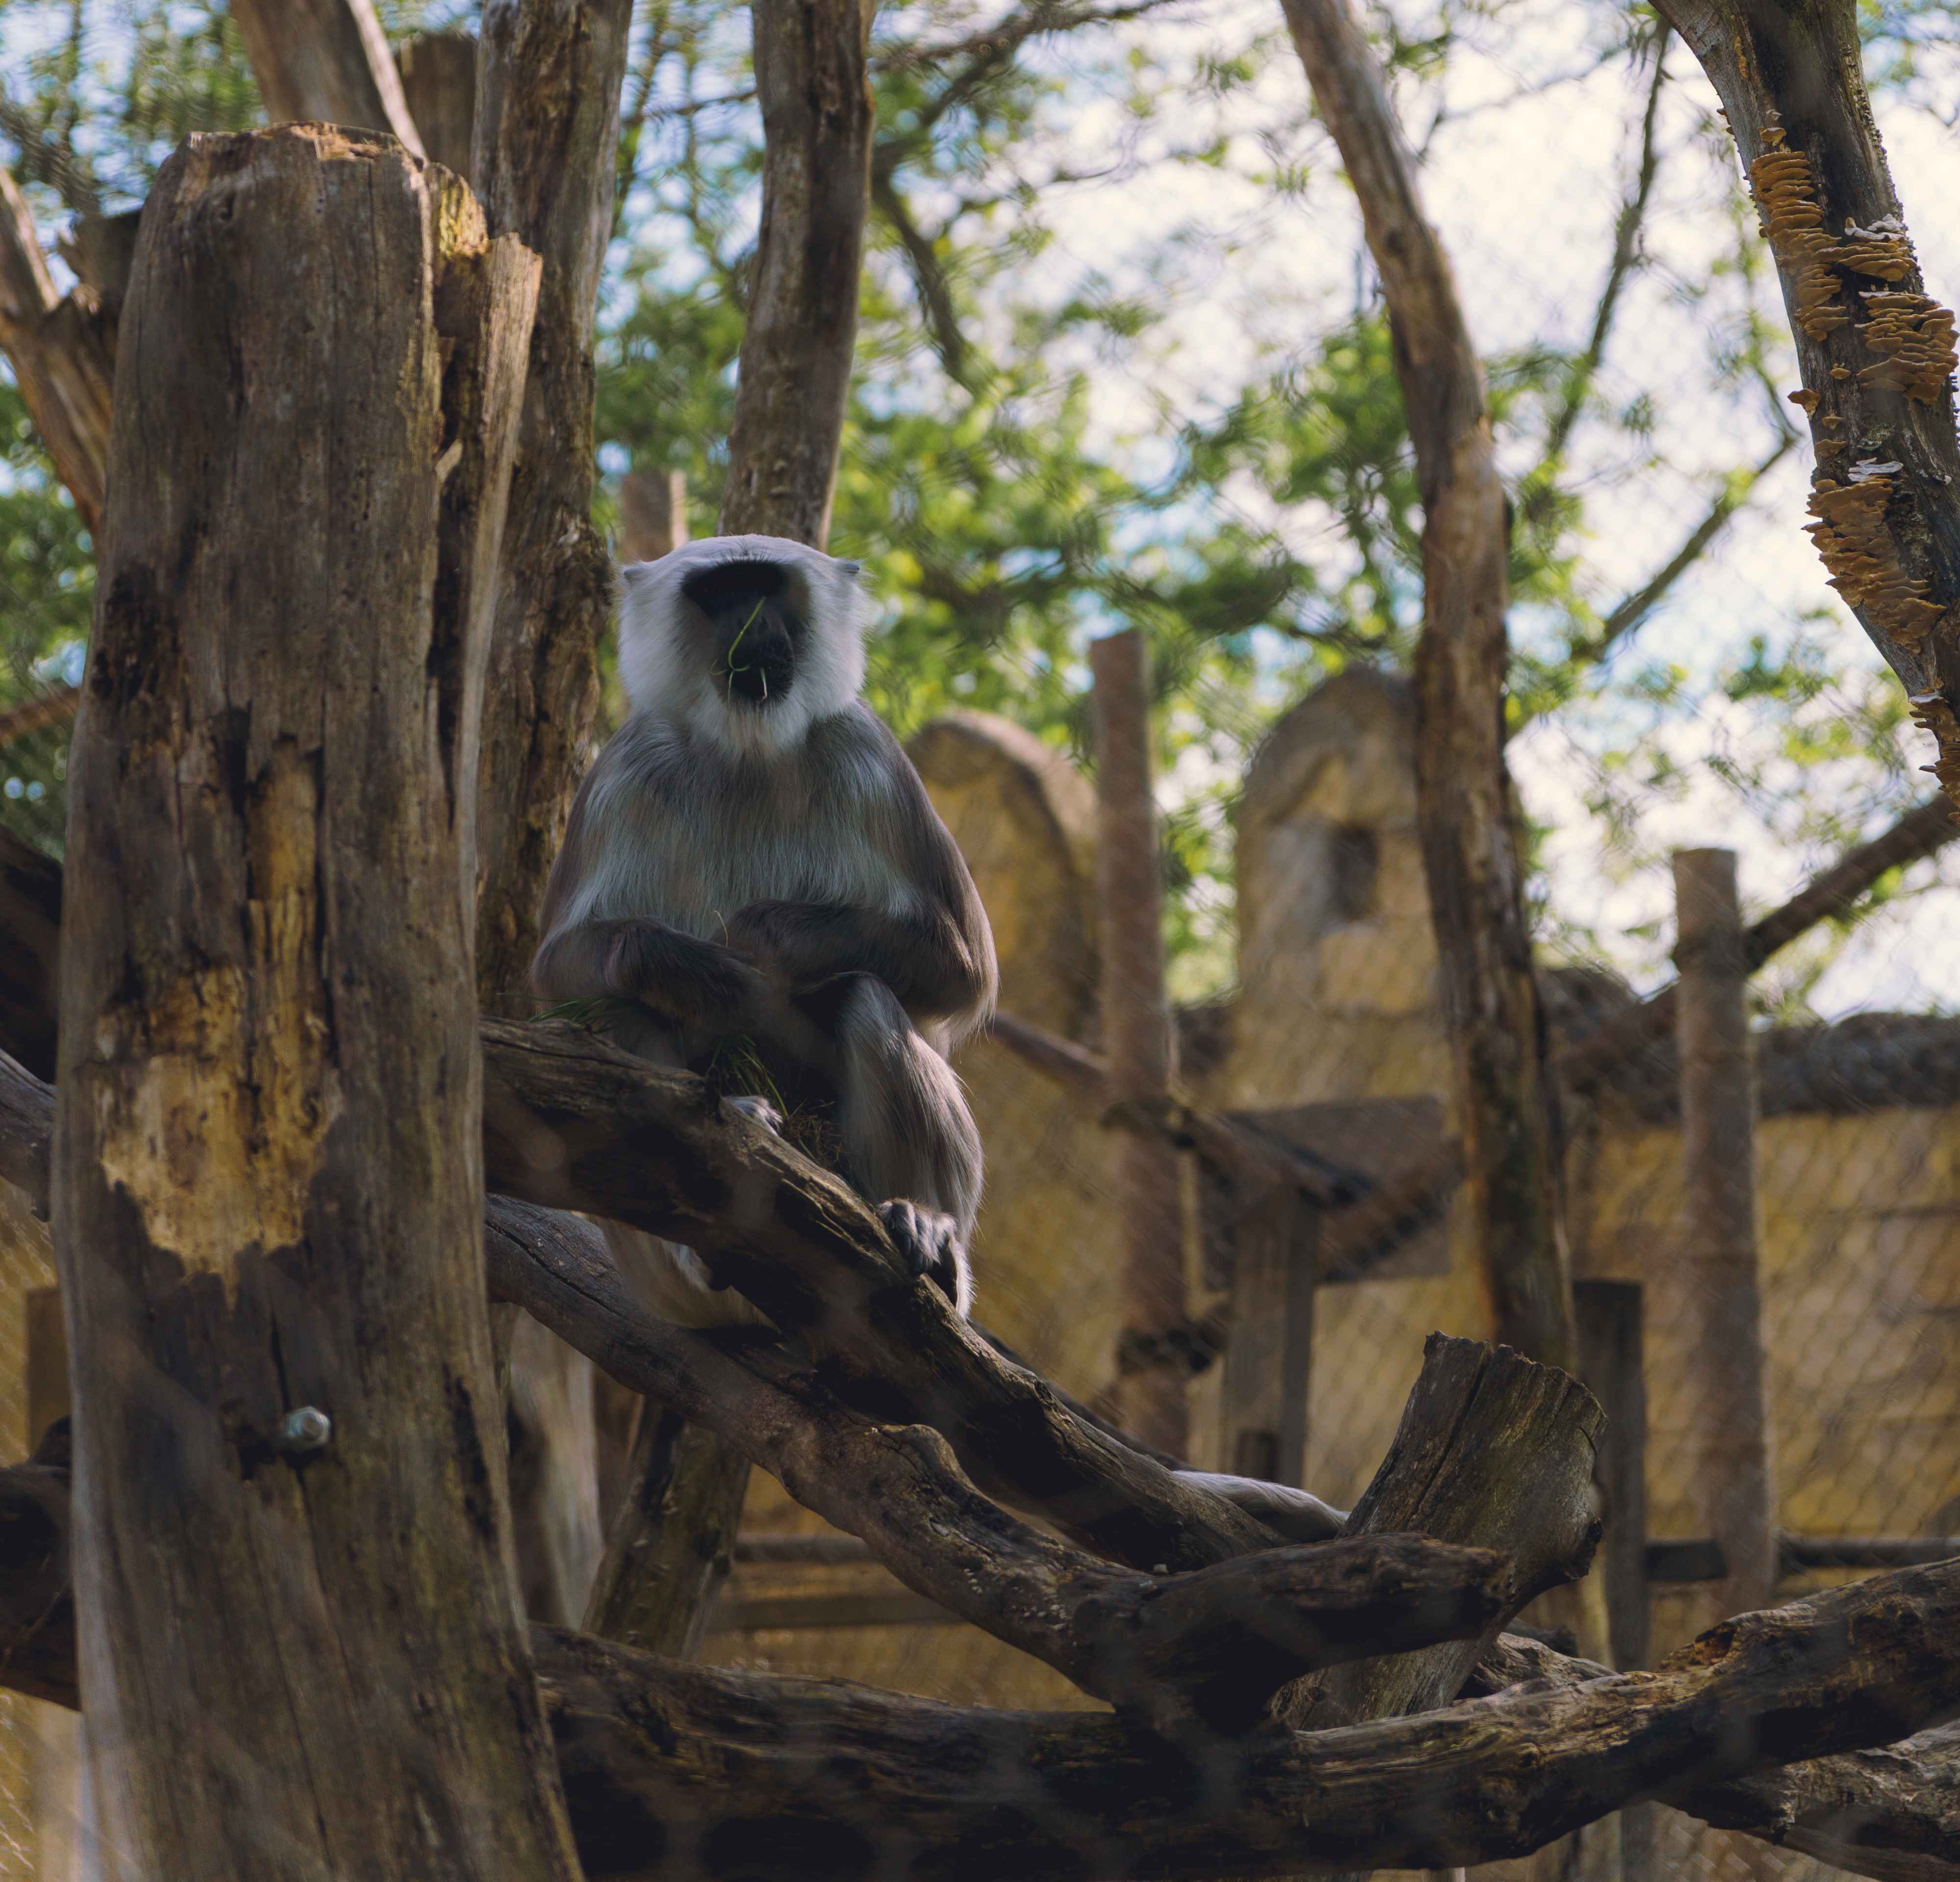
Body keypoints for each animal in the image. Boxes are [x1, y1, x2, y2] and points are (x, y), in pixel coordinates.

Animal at [531, 534, 996, 1330]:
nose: (754, 630)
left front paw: (761, 938)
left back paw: (925, 1234)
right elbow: (558, 974)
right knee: (611, 1012)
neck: (748, 750)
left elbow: (963, 968)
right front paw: (682, 964)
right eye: (721, 593)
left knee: (865, 996)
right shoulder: (625, 769)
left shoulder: (866, 750)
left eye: (769, 587)